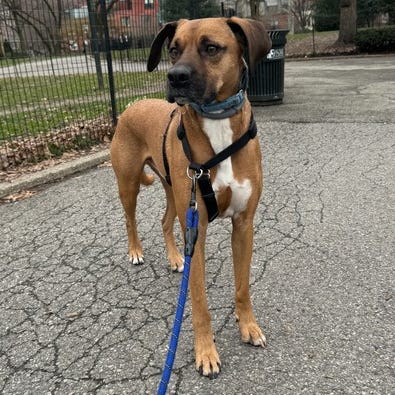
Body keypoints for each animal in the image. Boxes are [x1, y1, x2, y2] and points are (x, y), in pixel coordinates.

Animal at [111, 17, 272, 378]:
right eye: (173, 49)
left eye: (211, 48)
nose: (175, 77)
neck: (218, 124)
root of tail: (132, 106)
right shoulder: (197, 232)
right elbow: (198, 302)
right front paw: (205, 352)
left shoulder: (243, 226)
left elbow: (243, 287)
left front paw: (248, 326)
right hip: (129, 185)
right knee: (129, 219)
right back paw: (135, 251)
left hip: (175, 193)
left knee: (164, 222)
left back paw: (174, 258)